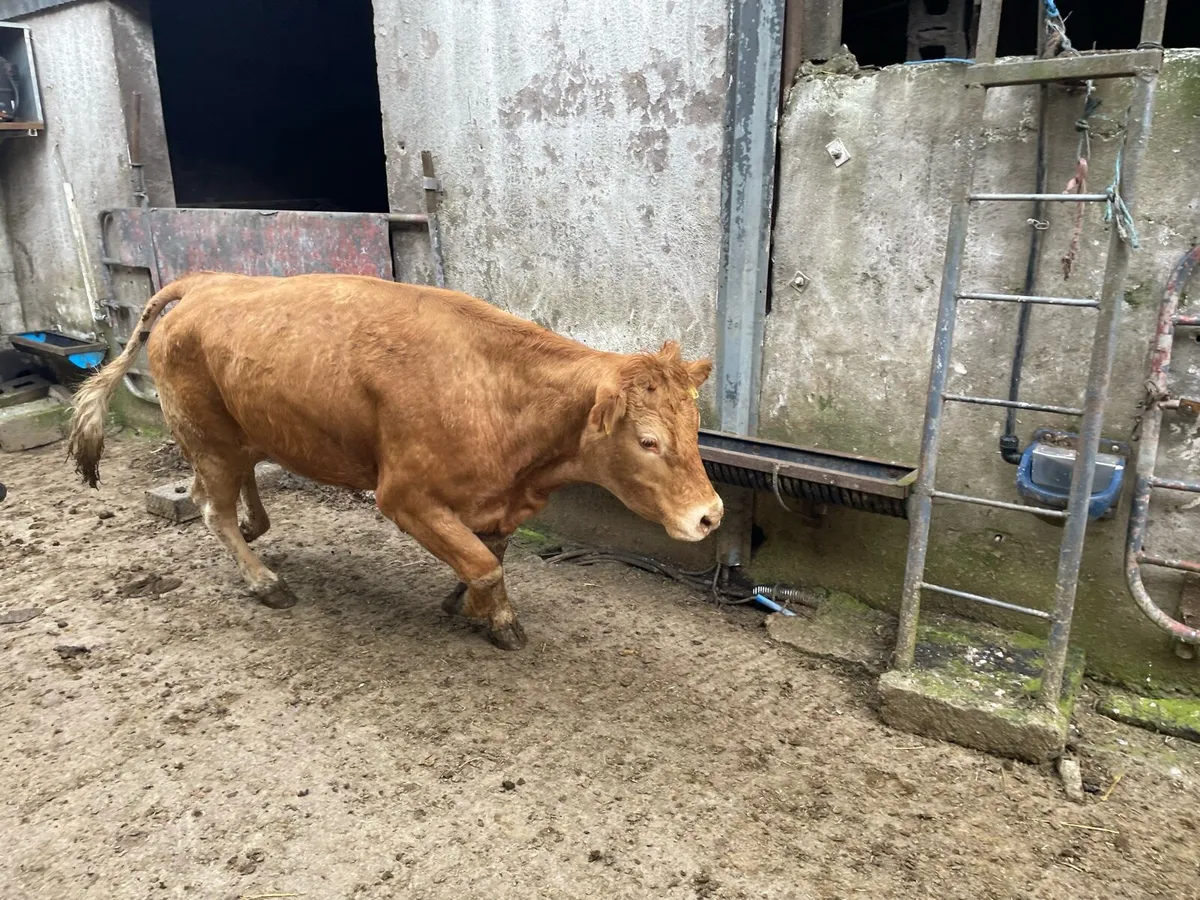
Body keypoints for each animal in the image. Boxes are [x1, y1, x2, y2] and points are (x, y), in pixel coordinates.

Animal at [68, 273, 724, 649]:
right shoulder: (405, 496)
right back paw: (265, 581)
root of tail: (206, 283)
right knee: (214, 511)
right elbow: (484, 564)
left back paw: (257, 530)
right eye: (647, 441)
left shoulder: (495, 502)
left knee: (229, 496)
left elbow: (488, 557)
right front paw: (496, 619)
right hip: (209, 438)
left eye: (694, 429)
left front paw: (468, 607)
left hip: (242, 432)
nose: (711, 515)